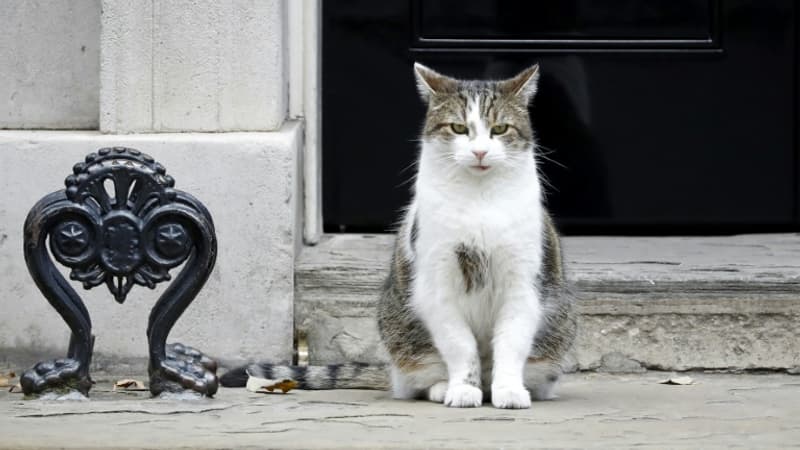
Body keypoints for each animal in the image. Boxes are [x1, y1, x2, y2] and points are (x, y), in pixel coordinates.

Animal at [220, 63, 576, 412]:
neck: (480, 201)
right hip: (401, 329)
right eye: (458, 128)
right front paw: (462, 389)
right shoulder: (436, 284)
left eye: (500, 129)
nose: (479, 152)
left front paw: (509, 391)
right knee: (415, 380)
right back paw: (443, 388)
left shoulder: (523, 284)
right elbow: (460, 345)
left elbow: (511, 343)